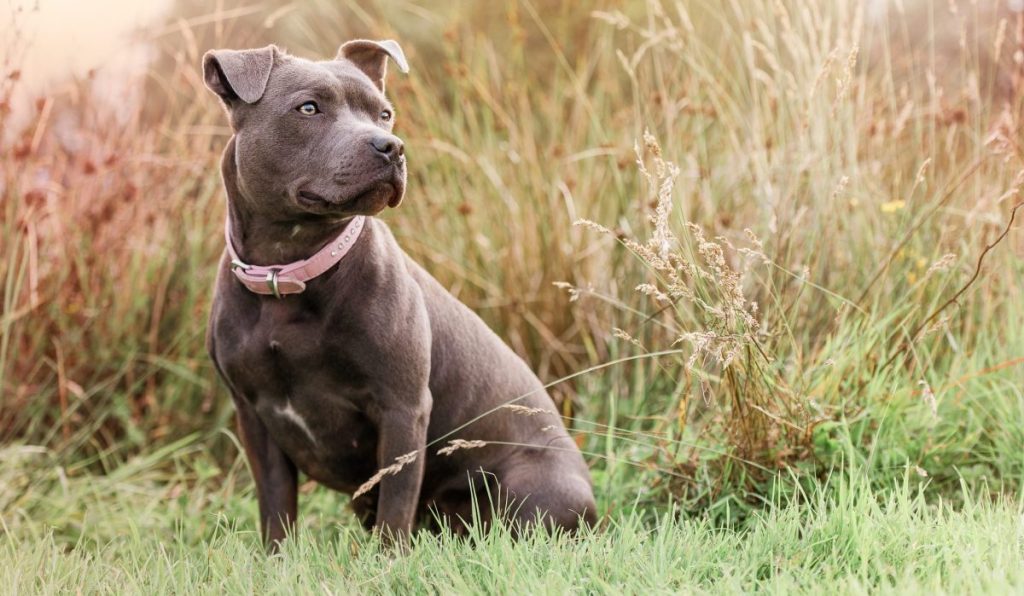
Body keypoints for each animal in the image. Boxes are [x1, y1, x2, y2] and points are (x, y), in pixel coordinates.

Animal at [200, 38, 598, 552]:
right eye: (308, 108)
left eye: (384, 114)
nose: (392, 146)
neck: (286, 275)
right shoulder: (254, 416)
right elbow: (276, 508)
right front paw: (277, 561)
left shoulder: (402, 409)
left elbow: (396, 501)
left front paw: (389, 563)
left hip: (532, 487)